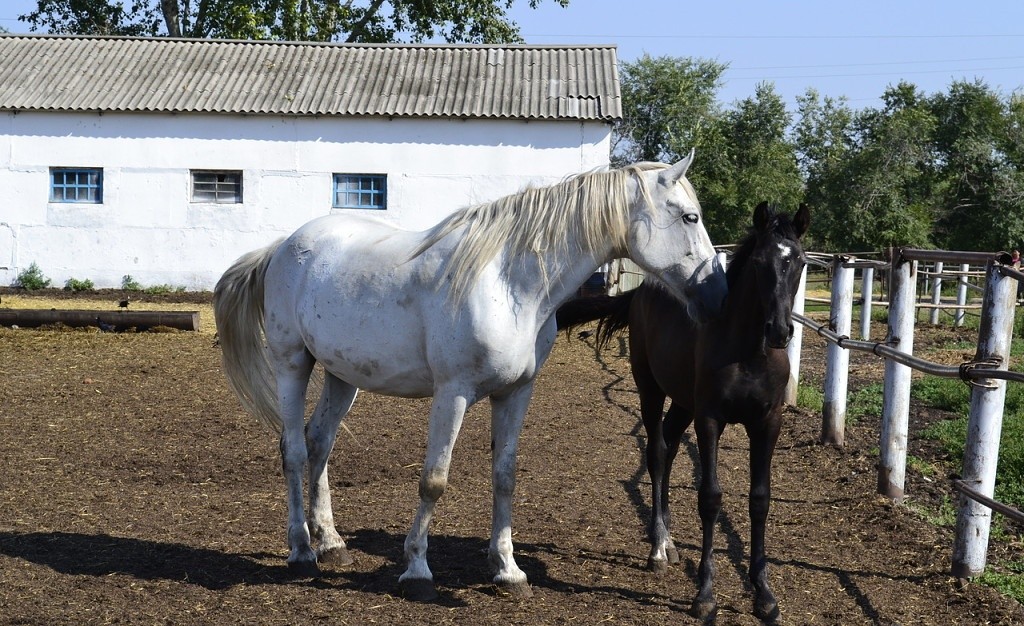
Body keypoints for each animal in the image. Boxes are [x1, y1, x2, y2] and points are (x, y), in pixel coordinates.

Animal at [211, 152, 724, 602]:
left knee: (320, 444)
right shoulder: (452, 393)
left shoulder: (516, 394)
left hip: (342, 376)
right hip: (292, 363)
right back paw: (301, 550)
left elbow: (505, 477)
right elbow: (434, 480)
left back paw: (332, 543)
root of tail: (282, 248)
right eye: (690, 217)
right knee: (294, 451)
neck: (509, 284)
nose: (716, 295)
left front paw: (508, 571)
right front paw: (417, 571)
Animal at [561, 201, 806, 622]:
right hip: (651, 390)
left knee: (671, 445)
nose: (778, 331)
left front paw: (764, 595)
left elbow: (760, 499)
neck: (748, 353)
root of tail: (643, 288)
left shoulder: (767, 422)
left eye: (801, 262)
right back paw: (659, 548)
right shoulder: (710, 419)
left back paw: (670, 540)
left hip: (682, 402)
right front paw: (705, 594)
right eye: (760, 262)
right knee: (657, 453)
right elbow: (710, 498)